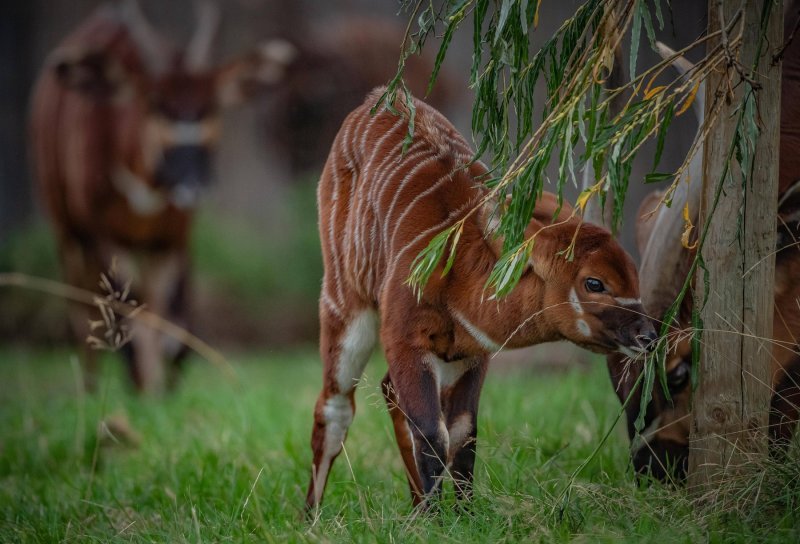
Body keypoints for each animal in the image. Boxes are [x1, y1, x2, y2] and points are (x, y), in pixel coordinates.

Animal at [30, 0, 296, 392]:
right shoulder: (104, 236)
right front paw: (146, 389)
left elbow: (169, 323)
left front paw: (160, 389)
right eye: (156, 104)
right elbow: (130, 318)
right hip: (68, 232)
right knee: (82, 312)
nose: (193, 182)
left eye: (211, 105)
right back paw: (92, 390)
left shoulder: (172, 240)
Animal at [306, 87, 656, 508]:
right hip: (344, 301)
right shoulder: (405, 338)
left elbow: (463, 433)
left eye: (634, 277)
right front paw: (436, 517)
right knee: (335, 406)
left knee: (389, 390)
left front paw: (463, 513)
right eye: (594, 283)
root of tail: (376, 99)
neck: (457, 269)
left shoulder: (472, 354)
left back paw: (414, 504)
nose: (648, 336)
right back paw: (311, 516)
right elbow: (431, 432)